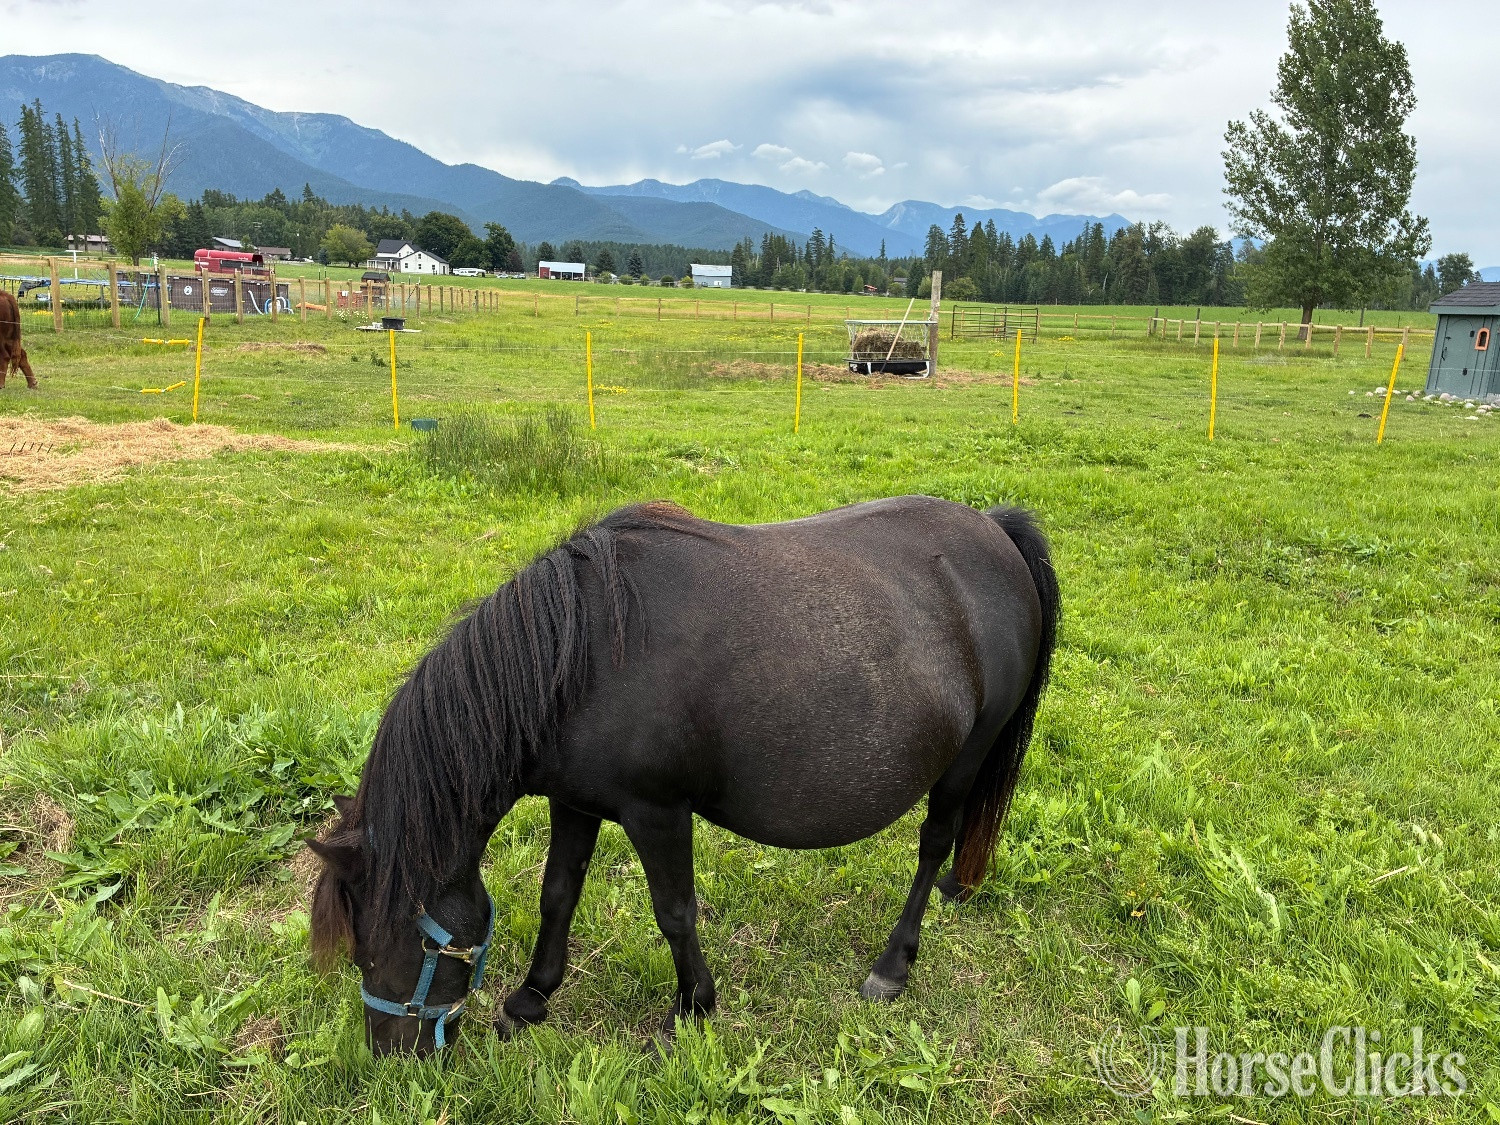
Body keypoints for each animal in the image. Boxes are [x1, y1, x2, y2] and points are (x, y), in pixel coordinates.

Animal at [308, 495, 1060, 1055]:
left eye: (379, 945)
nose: (392, 1052)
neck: (577, 659)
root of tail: (995, 528)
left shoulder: (657, 812)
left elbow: (674, 911)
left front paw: (693, 1007)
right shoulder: (575, 802)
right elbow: (559, 894)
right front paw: (531, 997)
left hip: (965, 760)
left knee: (933, 845)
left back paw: (892, 965)